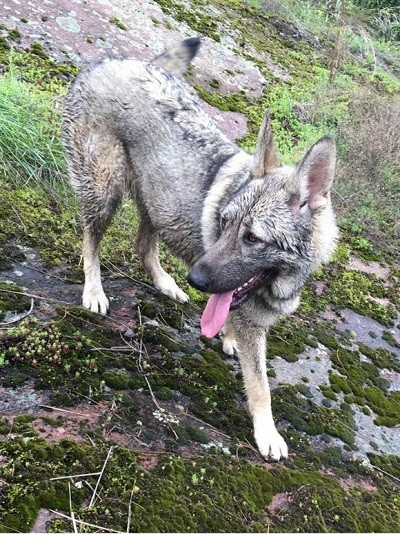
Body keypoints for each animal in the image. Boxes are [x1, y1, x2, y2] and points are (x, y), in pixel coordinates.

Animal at [63, 38, 338, 460]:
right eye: (224, 222)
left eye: (252, 238)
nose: (195, 279)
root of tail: (114, 62)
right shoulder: (252, 326)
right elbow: (261, 388)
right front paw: (267, 433)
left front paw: (226, 338)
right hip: (105, 192)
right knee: (91, 242)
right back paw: (94, 291)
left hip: (157, 203)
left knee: (143, 246)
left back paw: (166, 284)